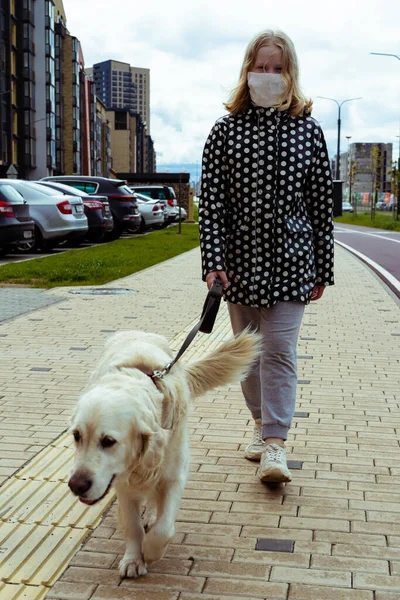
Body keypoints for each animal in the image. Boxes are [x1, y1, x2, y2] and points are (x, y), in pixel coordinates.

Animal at [69, 330, 260, 580]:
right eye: (76, 435)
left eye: (108, 441)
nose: (76, 485)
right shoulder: (122, 481)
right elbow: (132, 525)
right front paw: (133, 559)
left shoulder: (174, 473)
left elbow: (164, 528)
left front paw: (150, 550)